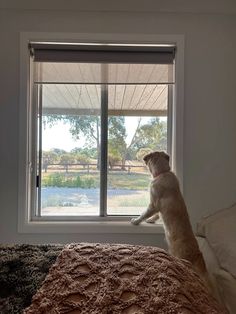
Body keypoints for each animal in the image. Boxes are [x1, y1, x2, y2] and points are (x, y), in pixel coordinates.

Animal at [131, 151, 212, 290]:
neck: (163, 172)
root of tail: (197, 253)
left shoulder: (153, 204)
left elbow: (144, 214)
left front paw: (136, 220)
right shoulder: (157, 207)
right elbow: (155, 215)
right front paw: (151, 220)